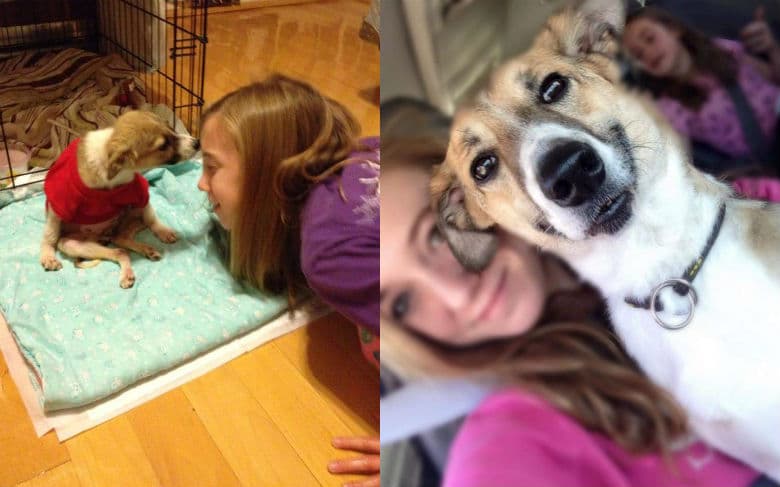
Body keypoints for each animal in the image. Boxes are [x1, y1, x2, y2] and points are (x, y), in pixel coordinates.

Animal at [40, 110, 200, 288]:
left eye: (171, 127)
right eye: (163, 146)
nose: (197, 143)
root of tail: (103, 234)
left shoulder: (138, 192)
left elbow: (151, 217)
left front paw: (163, 231)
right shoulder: (59, 203)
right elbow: (50, 234)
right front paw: (48, 256)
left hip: (129, 215)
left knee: (121, 240)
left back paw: (146, 250)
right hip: (72, 244)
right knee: (119, 250)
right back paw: (128, 270)